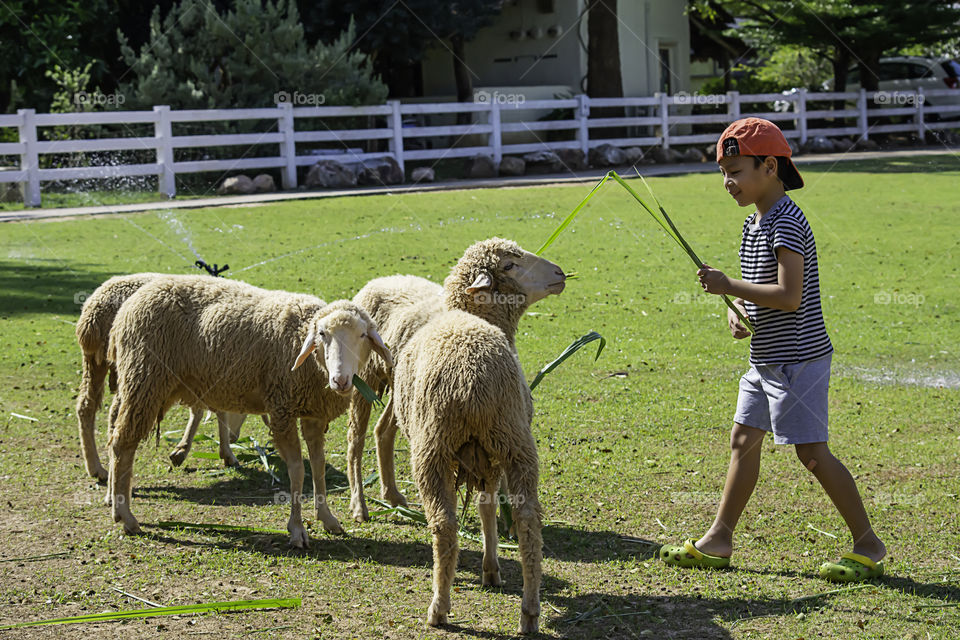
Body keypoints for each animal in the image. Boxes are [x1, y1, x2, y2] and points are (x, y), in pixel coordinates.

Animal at [77, 272, 246, 480]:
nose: (234, 437)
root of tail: (94, 312)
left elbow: (203, 410)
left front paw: (185, 450)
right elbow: (209, 411)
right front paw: (226, 454)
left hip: (95, 361)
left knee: (86, 407)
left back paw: (95, 467)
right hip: (134, 367)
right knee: (113, 413)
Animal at [105, 272, 390, 548]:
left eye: (362, 335)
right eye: (321, 334)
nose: (340, 381)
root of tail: (128, 306)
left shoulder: (313, 414)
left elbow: (318, 467)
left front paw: (328, 518)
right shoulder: (281, 409)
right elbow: (297, 470)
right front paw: (297, 530)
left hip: (140, 383)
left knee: (114, 435)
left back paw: (115, 503)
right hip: (145, 380)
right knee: (122, 444)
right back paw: (126, 516)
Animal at [394, 238, 568, 632]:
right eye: (509, 265)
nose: (560, 273)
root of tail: (471, 375)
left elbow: (482, 508)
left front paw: (488, 571)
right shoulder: (490, 457)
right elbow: (487, 506)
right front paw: (492, 570)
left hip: (432, 448)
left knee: (444, 526)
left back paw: (438, 608)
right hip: (515, 439)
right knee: (528, 519)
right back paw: (529, 611)